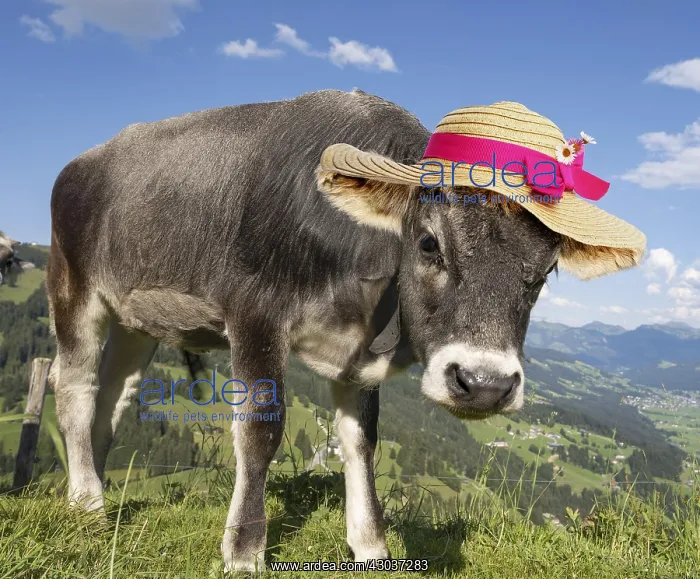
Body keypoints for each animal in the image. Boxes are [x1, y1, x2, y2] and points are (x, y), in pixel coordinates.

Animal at [46, 89, 643, 572]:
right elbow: (260, 431)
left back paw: (94, 488)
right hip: (73, 287)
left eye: (544, 274)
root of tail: (85, 159)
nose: (484, 385)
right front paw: (244, 551)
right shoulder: (255, 315)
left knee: (114, 397)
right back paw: (87, 503)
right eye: (429, 244)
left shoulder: (356, 357)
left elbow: (361, 442)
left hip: (136, 319)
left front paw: (371, 546)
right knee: (74, 387)